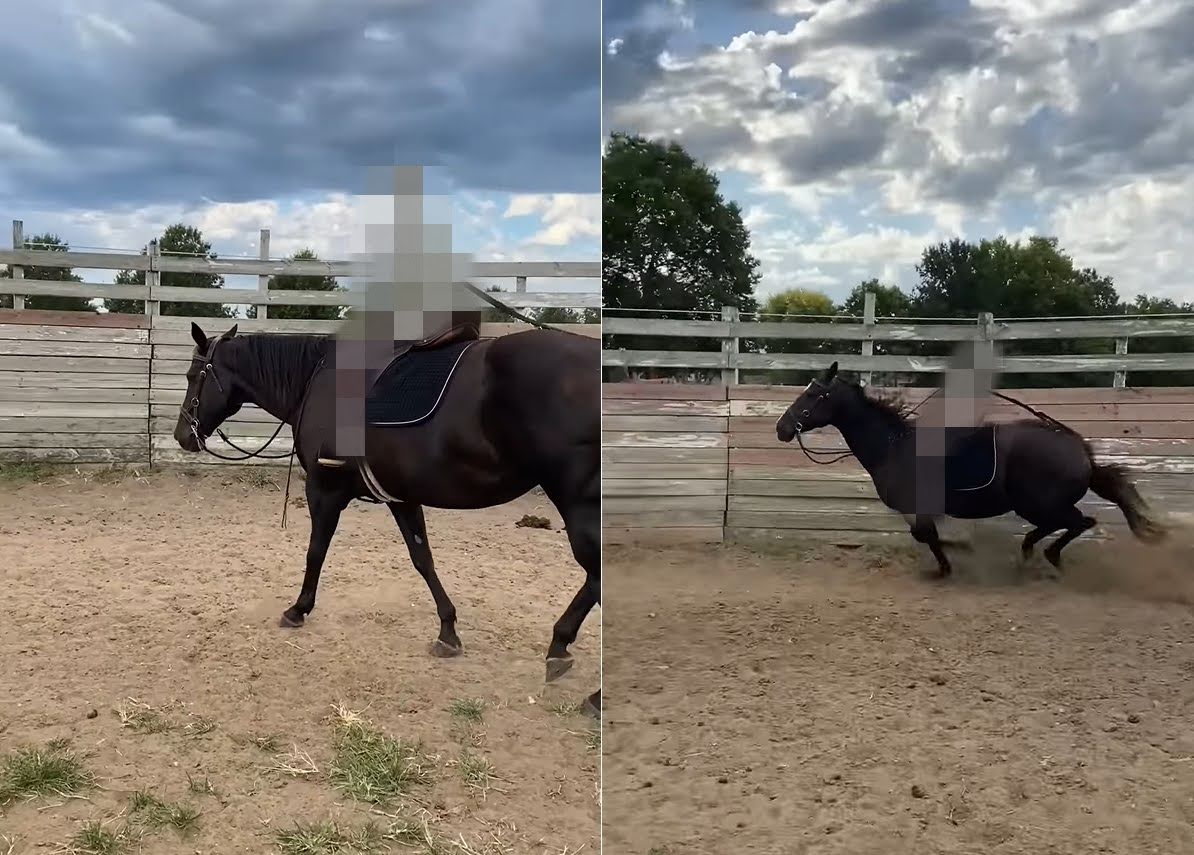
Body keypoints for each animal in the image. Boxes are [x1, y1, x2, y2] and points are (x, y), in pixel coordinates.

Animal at [173, 320, 601, 716]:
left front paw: (298, 609)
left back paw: (582, 679)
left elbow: (315, 552)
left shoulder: (325, 492)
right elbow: (422, 559)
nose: (182, 435)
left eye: (194, 376)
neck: (319, 380)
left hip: (580, 504)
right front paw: (448, 631)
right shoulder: (402, 496)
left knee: (595, 576)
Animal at [773, 363, 1165, 577]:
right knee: (1062, 526)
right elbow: (925, 535)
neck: (894, 445)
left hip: (1039, 504)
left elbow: (927, 536)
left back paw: (1043, 556)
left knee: (1079, 522)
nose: (782, 428)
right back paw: (1029, 555)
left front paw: (949, 563)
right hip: (1039, 506)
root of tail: (1080, 449)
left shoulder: (921, 507)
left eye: (813, 395)